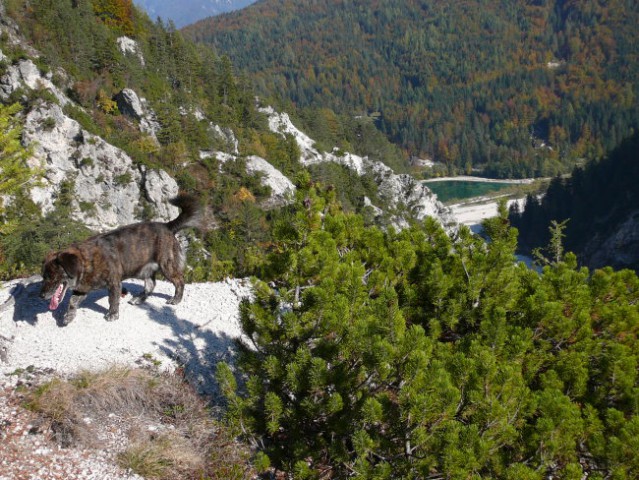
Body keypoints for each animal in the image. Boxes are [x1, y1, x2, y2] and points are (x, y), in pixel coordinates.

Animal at [40, 195, 200, 326]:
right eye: (43, 277)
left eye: (52, 277)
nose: (41, 296)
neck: (86, 262)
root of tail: (167, 226)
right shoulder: (81, 289)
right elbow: (72, 302)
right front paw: (69, 316)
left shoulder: (114, 282)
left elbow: (113, 299)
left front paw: (112, 314)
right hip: (143, 269)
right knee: (151, 285)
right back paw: (139, 299)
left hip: (167, 265)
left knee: (179, 281)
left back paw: (176, 299)